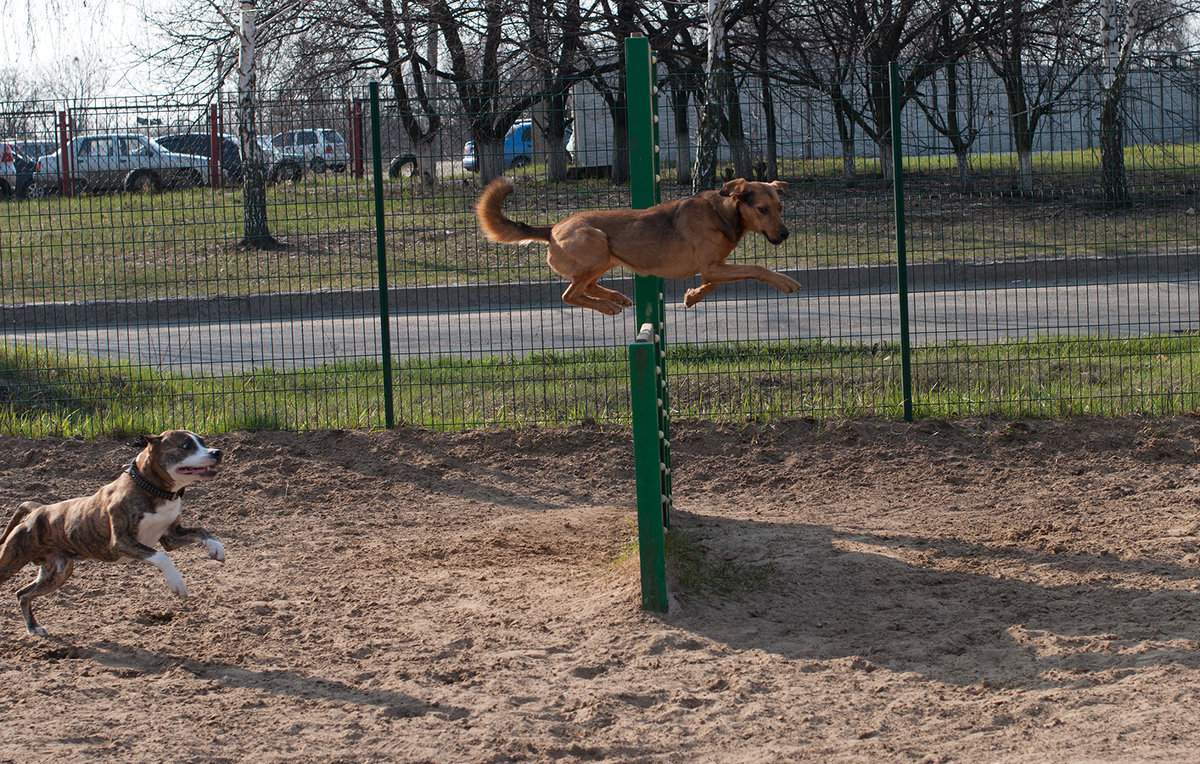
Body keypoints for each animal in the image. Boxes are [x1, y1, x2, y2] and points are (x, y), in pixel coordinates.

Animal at [472, 176, 801, 311]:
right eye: (762, 210)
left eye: (780, 208)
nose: (785, 234)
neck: (723, 213)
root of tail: (553, 228)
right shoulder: (712, 266)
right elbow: (757, 268)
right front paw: (784, 282)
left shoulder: (713, 268)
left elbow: (711, 284)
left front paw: (692, 297)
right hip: (596, 243)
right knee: (570, 294)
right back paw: (607, 306)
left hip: (603, 257)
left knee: (585, 286)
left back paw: (615, 297)